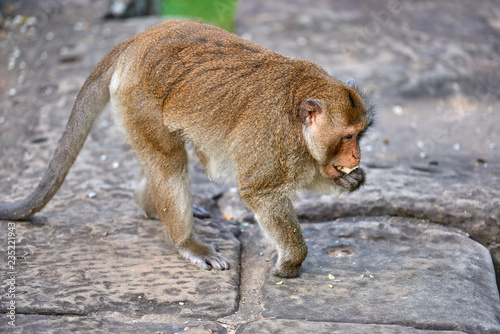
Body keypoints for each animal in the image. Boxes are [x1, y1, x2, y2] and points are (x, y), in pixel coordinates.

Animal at [0, 19, 374, 278]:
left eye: (360, 134)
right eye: (347, 137)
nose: (356, 156)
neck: (297, 115)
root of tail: (137, 40)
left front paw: (350, 180)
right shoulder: (273, 138)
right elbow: (261, 192)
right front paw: (291, 263)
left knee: (161, 160)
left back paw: (149, 206)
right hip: (139, 101)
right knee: (169, 161)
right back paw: (185, 242)